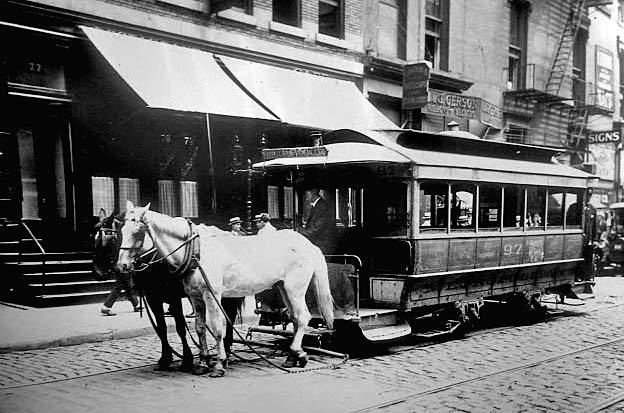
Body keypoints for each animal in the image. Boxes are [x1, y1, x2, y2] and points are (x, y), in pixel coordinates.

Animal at [115, 200, 334, 376]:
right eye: (121, 232)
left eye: (137, 232)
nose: (122, 265)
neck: (195, 251)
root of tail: (307, 244)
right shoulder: (195, 297)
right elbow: (200, 328)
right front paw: (203, 363)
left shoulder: (211, 296)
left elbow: (217, 329)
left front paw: (219, 364)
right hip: (283, 288)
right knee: (295, 318)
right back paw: (293, 356)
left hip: (295, 289)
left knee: (303, 317)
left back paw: (297, 353)